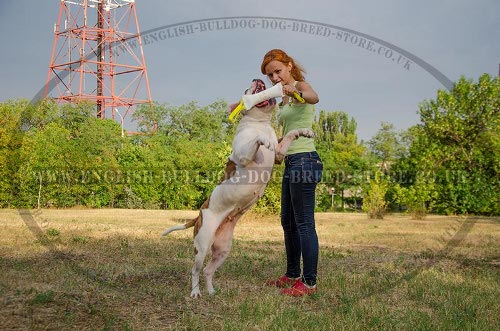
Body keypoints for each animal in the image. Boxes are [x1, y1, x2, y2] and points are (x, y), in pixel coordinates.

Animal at [162, 79, 312, 300]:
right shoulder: (243, 155)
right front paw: (263, 140)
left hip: (223, 249)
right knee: (195, 269)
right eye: (246, 89)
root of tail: (199, 215)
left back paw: (211, 291)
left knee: (208, 270)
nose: (257, 80)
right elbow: (255, 141)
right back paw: (196, 292)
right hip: (202, 245)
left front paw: (303, 132)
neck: (260, 123)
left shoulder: (278, 154)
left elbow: (289, 136)